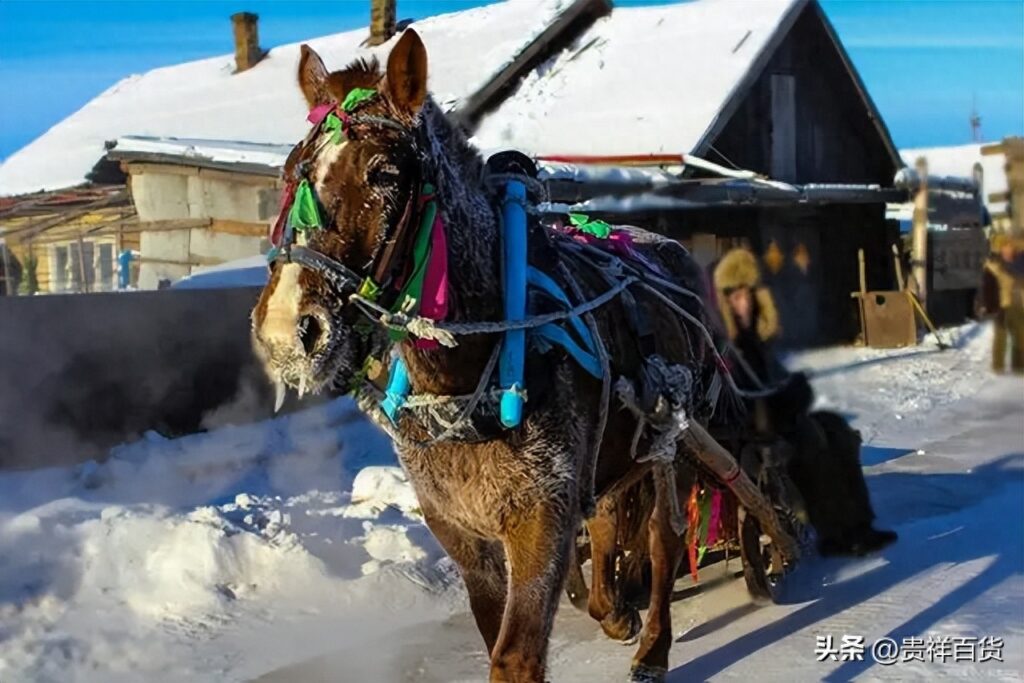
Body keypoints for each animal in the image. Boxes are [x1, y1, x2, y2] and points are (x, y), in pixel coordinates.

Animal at [253, 29, 782, 679]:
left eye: (383, 172)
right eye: (289, 172)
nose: (287, 329)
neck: (469, 375)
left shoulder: (541, 512)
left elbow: (516, 654)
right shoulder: (459, 526)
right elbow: (498, 619)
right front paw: (610, 608)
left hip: (674, 438)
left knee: (664, 537)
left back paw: (654, 641)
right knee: (608, 520)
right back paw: (615, 609)